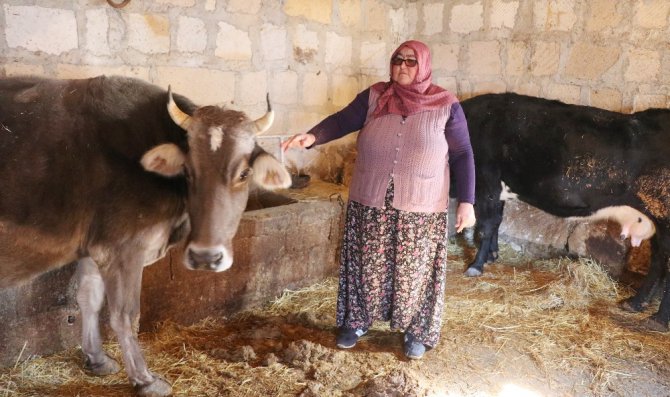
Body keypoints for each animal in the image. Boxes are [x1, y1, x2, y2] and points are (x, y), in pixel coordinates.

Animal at [0, 76, 294, 394]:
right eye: (188, 171)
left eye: (244, 174)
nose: (205, 257)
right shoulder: (123, 248)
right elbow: (125, 315)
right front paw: (144, 379)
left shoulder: (95, 247)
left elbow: (88, 298)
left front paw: (97, 359)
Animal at [462, 93, 670, 332]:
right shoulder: (497, 190)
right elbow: (496, 222)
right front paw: (491, 256)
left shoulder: (485, 182)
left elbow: (486, 226)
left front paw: (475, 265)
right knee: (658, 260)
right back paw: (635, 303)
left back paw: (659, 318)